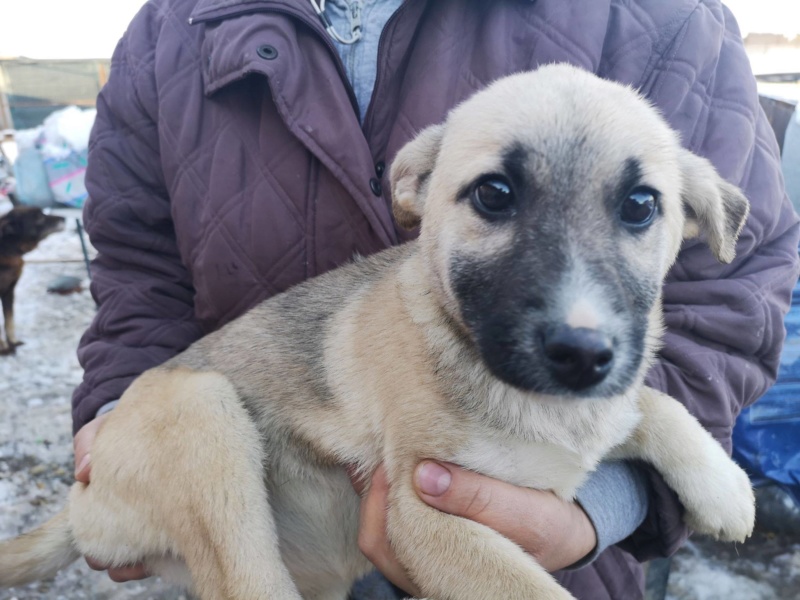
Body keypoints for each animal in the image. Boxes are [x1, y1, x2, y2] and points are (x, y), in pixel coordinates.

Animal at [0, 207, 65, 354]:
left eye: (42, 213)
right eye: (38, 217)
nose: (64, 218)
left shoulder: (9, 291)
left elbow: (9, 320)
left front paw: (13, 342)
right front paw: (4, 347)